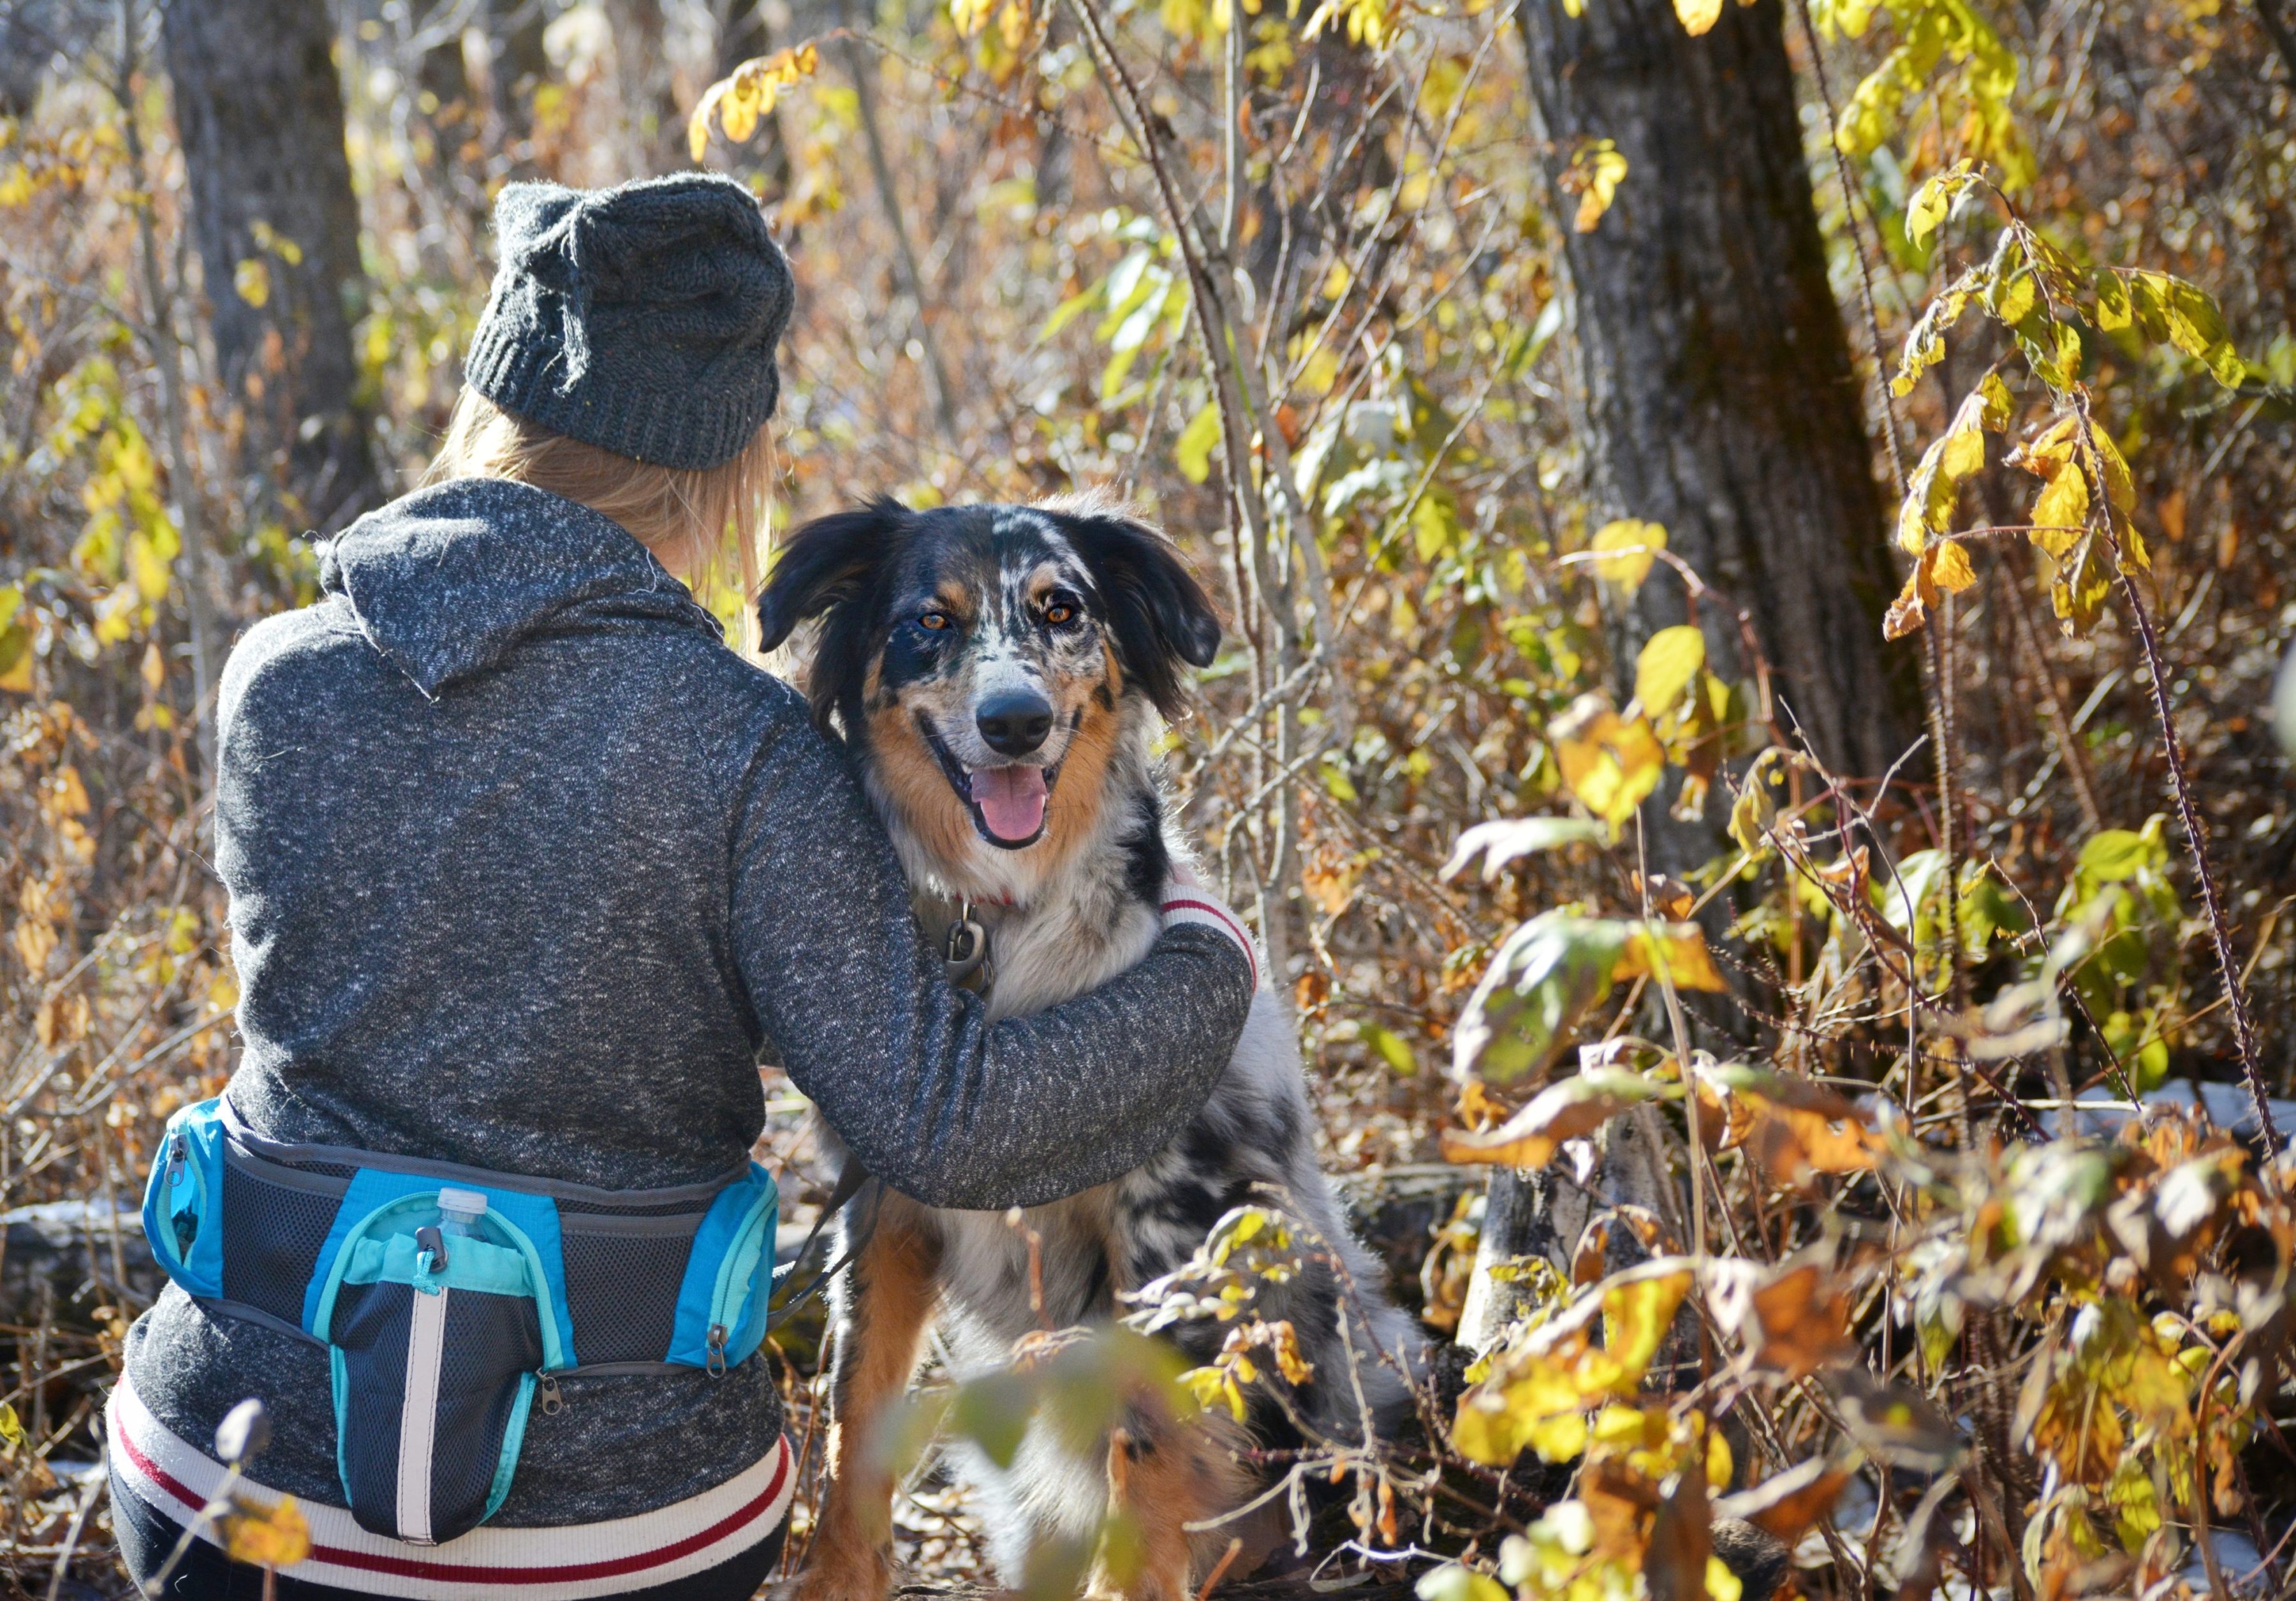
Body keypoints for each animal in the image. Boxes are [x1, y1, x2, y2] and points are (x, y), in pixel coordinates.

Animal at [762, 494, 1424, 1598]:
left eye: (1061, 608)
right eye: (930, 621)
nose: (1015, 719)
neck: (1002, 920)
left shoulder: (1168, 1219)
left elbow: (1144, 1432)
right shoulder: (884, 1206)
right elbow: (860, 1411)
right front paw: (835, 1578)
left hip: (1366, 1354)